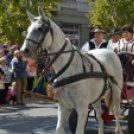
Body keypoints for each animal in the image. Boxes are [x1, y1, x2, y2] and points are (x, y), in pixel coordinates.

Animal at [20, 6, 123, 134]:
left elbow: (79, 130)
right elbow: (59, 129)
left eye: (39, 28)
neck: (69, 69)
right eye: (28, 29)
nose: (24, 50)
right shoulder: (64, 105)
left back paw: (118, 129)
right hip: (96, 97)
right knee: (100, 115)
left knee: (117, 111)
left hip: (116, 91)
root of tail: (110, 52)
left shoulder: (82, 106)